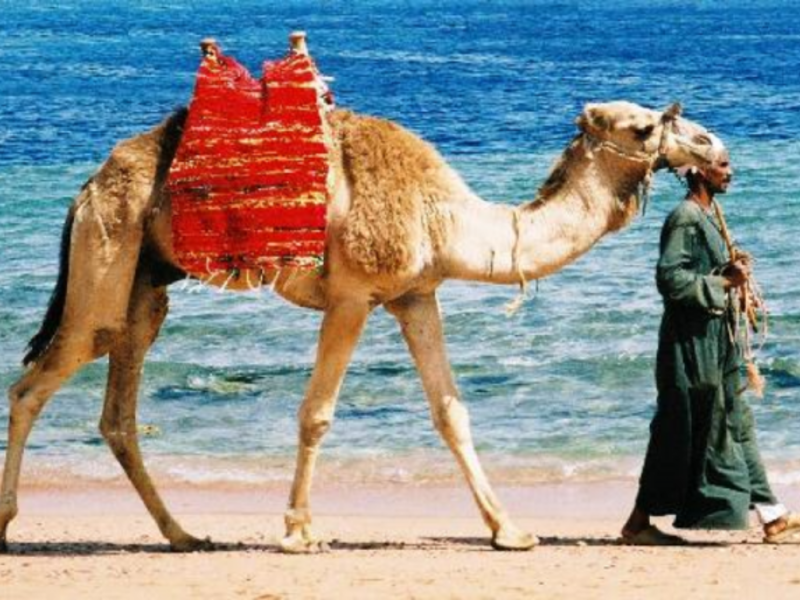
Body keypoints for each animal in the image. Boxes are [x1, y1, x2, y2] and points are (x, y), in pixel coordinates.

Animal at [0, 83, 724, 552]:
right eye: (647, 126)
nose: (716, 151)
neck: (446, 216)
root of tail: (87, 187)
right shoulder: (352, 294)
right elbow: (317, 413)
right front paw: (298, 531)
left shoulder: (416, 295)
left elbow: (452, 412)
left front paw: (511, 531)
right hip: (107, 253)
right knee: (34, 383)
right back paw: (10, 526)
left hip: (145, 285)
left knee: (118, 412)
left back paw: (183, 535)